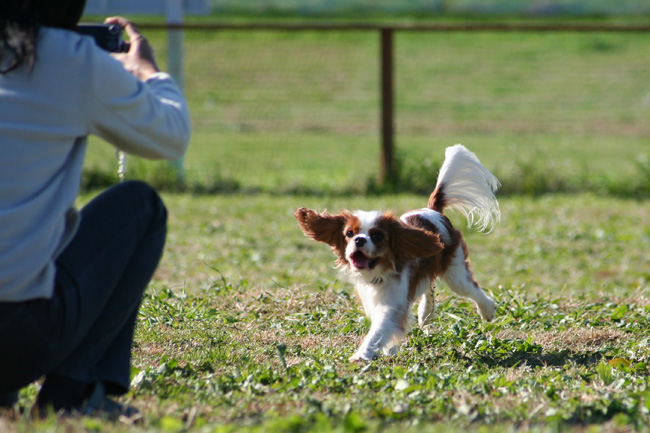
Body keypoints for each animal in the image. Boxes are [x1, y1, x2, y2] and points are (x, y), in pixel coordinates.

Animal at [294, 143, 502, 360]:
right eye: (349, 233)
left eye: (378, 236)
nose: (359, 239)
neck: (377, 274)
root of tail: (433, 210)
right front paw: (387, 350)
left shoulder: (392, 306)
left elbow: (379, 330)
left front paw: (361, 355)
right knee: (429, 284)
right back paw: (426, 313)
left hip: (455, 273)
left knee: (471, 288)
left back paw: (487, 310)